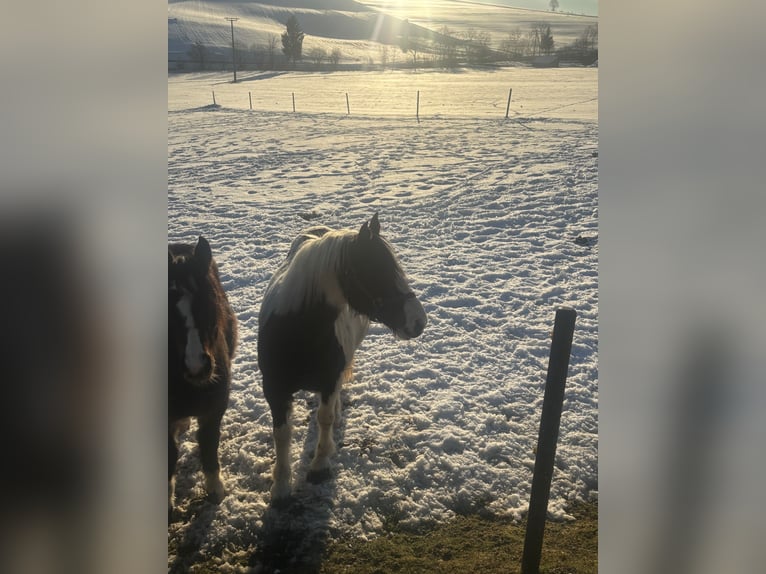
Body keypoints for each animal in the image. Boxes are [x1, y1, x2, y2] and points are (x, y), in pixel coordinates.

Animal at [258, 214, 426, 502]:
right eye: (376, 271)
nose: (419, 321)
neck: (297, 335)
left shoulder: (329, 381)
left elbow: (324, 418)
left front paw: (320, 465)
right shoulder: (275, 390)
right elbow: (281, 434)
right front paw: (280, 487)